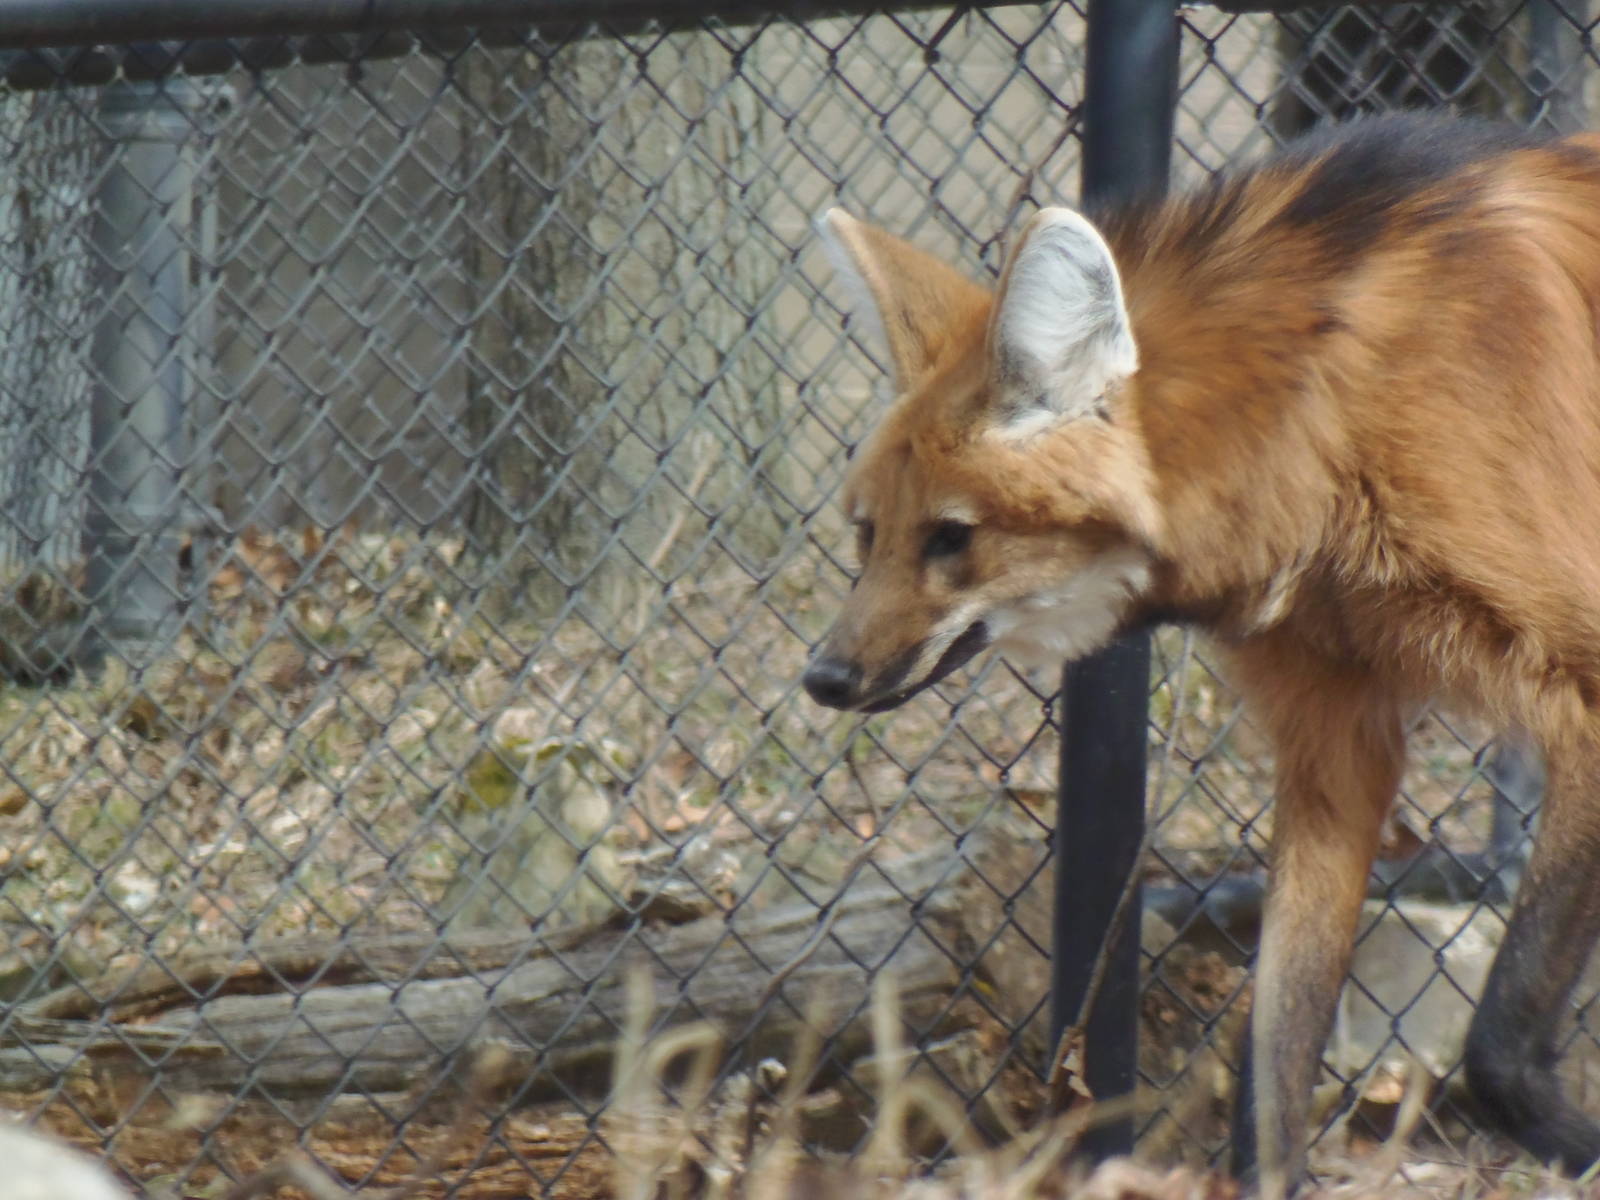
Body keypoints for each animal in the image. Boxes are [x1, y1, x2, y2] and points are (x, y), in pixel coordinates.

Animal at [800, 113, 1600, 1196]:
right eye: (867, 536)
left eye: (950, 537)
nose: (822, 678)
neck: (1325, 422)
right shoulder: (1336, 746)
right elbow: (1274, 1065)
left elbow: (1497, 1048)